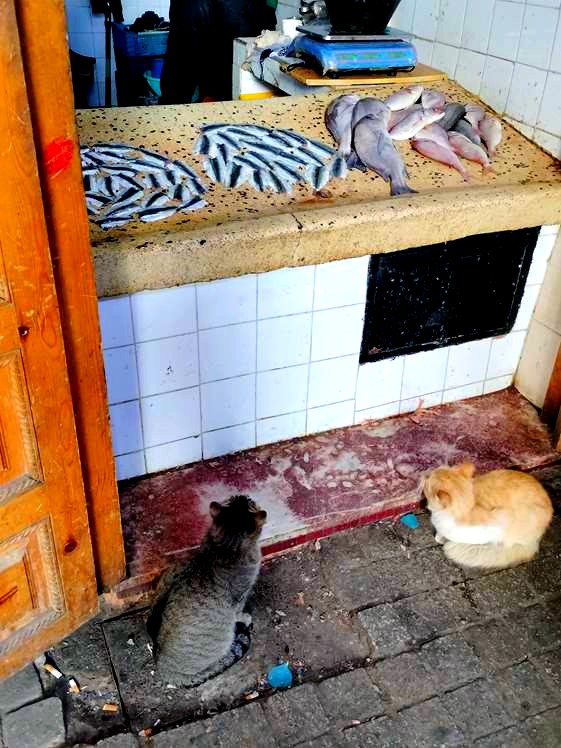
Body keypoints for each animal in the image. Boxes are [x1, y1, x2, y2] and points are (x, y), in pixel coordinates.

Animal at [146, 494, 267, 687]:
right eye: (252, 503)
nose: (245, 495)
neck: (224, 546)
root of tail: (163, 670)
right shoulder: (240, 595)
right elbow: (239, 612)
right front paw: (245, 617)